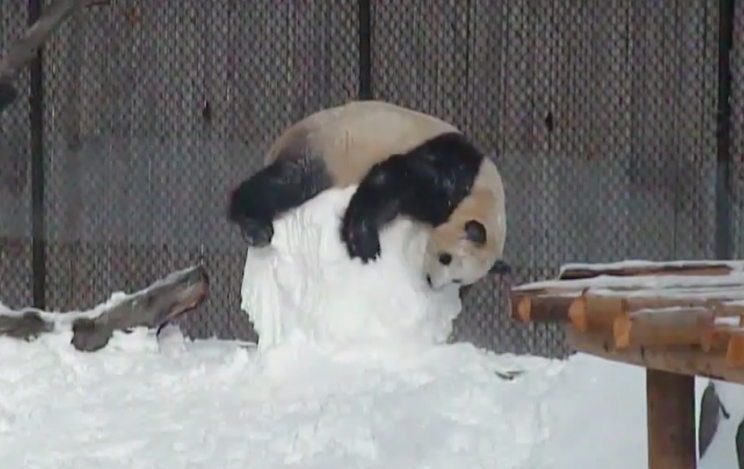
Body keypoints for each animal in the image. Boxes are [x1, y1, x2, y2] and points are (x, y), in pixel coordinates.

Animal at [225, 100, 506, 288]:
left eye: (458, 281)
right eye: (445, 258)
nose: (430, 282)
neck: (481, 194)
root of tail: (277, 145)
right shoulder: (451, 173)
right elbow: (394, 180)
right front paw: (365, 245)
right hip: (324, 148)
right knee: (291, 181)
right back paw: (254, 225)